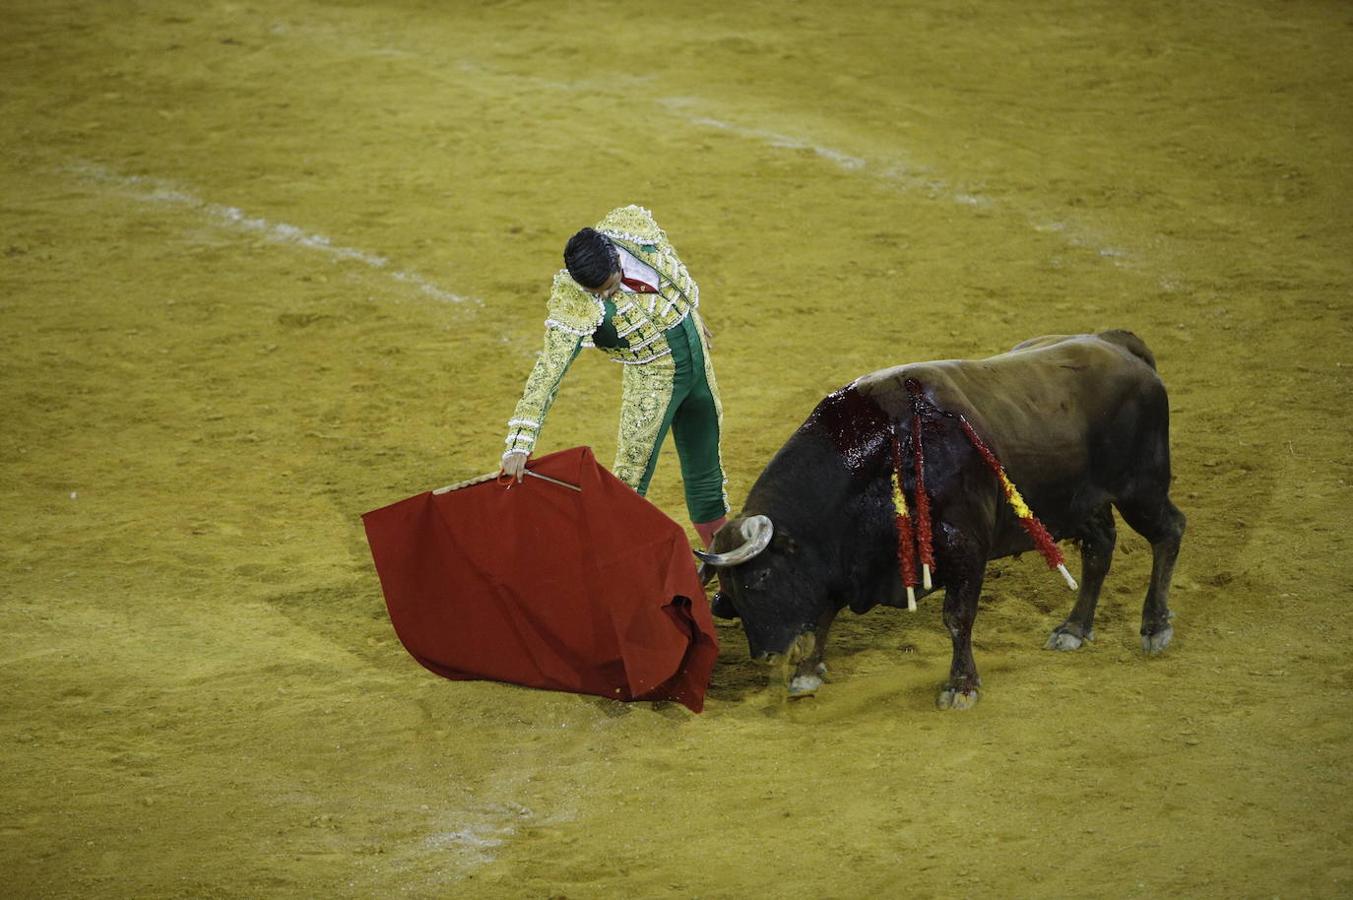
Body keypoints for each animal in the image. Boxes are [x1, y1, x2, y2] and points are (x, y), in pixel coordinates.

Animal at [698, 330, 1185, 709]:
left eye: (761, 579)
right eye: (728, 590)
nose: (765, 655)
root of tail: (1119, 345)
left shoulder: (966, 550)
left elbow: (957, 618)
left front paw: (961, 686)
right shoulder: (841, 562)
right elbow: (822, 613)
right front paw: (807, 671)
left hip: (1142, 489)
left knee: (1169, 531)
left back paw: (1156, 627)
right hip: (1079, 504)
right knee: (1100, 548)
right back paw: (1074, 629)